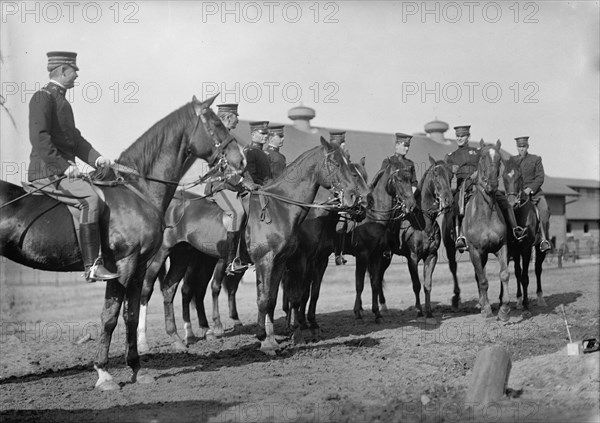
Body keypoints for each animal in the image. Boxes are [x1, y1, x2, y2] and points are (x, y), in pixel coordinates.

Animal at [0, 93, 246, 390]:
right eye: (216, 124)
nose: (241, 161)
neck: (137, 191)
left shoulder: (139, 266)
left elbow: (130, 314)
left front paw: (137, 368)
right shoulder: (123, 265)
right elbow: (110, 316)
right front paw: (104, 373)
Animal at [136, 138, 370, 354]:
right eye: (336, 163)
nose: (357, 198)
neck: (280, 207)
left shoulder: (281, 262)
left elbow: (273, 299)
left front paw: (272, 338)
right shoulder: (268, 261)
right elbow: (267, 299)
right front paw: (266, 340)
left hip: (183, 254)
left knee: (170, 288)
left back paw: (177, 338)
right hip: (161, 255)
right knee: (147, 290)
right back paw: (143, 343)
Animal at [462, 141, 508, 320]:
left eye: (500, 159)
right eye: (482, 157)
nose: (493, 184)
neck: (486, 214)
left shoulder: (501, 246)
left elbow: (504, 274)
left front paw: (504, 310)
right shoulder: (475, 250)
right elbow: (482, 280)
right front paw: (487, 309)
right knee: (478, 276)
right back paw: (482, 305)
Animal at [500, 157, 548, 316]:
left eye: (519, 176)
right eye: (503, 176)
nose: (512, 203)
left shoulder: (526, 249)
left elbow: (525, 277)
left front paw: (527, 307)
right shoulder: (514, 250)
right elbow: (517, 273)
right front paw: (520, 301)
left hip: (540, 249)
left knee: (538, 269)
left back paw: (540, 298)